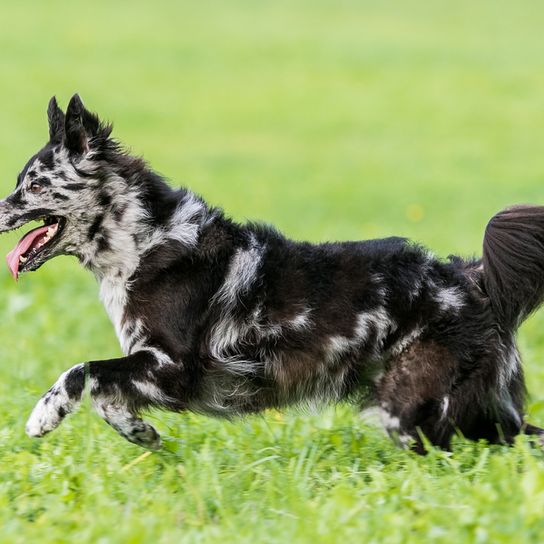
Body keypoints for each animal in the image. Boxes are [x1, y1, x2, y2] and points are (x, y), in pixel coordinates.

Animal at [1, 95, 544, 452]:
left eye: (34, 186)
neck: (145, 241)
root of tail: (469, 277)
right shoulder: (152, 369)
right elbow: (105, 393)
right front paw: (140, 432)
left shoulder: (174, 368)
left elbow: (83, 370)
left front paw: (43, 415)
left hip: (414, 409)